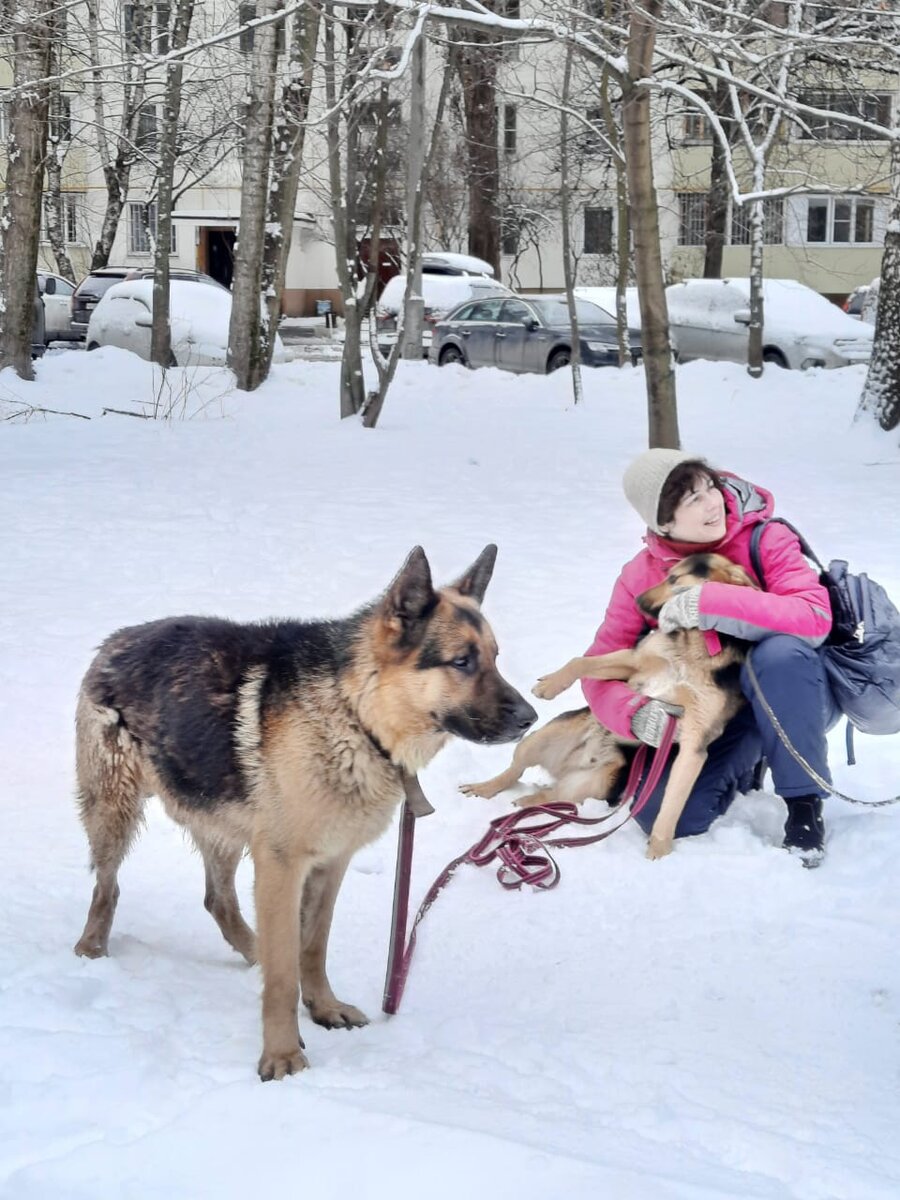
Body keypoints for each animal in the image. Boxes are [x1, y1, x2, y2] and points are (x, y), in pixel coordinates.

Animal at [74, 549, 535, 1084]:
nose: (530, 719)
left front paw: (323, 1007)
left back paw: (251, 950)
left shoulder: (330, 864)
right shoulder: (281, 865)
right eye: (462, 661)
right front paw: (281, 1056)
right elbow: (281, 979)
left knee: (219, 900)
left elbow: (311, 947)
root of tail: (117, 639)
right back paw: (92, 949)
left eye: (495, 658)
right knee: (107, 887)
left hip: (221, 826)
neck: (357, 714)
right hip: (115, 811)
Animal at [465, 552, 763, 864]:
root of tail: (570, 765)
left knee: (553, 795)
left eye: (673, 578)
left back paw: (528, 806)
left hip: (595, 783)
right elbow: (581, 662)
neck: (692, 642)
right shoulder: (634, 661)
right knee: (515, 770)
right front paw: (550, 685)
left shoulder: (694, 744)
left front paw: (660, 848)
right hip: (540, 738)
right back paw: (485, 788)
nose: (637, 600)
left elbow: (672, 805)